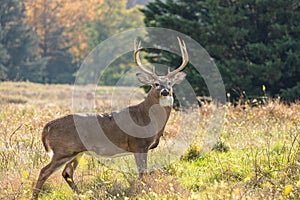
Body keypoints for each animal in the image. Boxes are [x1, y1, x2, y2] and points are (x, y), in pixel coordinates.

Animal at [32, 37, 188, 198]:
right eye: (155, 84)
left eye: (170, 83)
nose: (165, 91)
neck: (148, 118)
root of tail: (48, 127)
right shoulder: (139, 144)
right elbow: (142, 173)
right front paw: (142, 191)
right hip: (63, 150)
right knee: (45, 171)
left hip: (77, 152)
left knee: (67, 173)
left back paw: (83, 195)